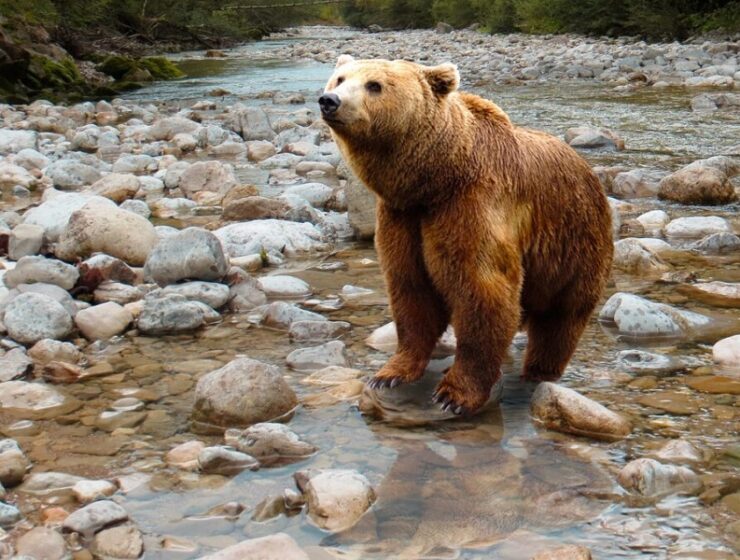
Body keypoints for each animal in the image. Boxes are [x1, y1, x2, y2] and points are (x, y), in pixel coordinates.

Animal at [319, 55, 613, 415]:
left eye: (374, 85)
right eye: (339, 78)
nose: (330, 100)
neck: (434, 180)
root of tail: (589, 170)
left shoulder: (471, 205)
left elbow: (481, 290)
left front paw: (454, 394)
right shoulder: (403, 218)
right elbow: (411, 290)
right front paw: (390, 374)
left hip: (575, 243)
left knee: (560, 319)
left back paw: (539, 370)